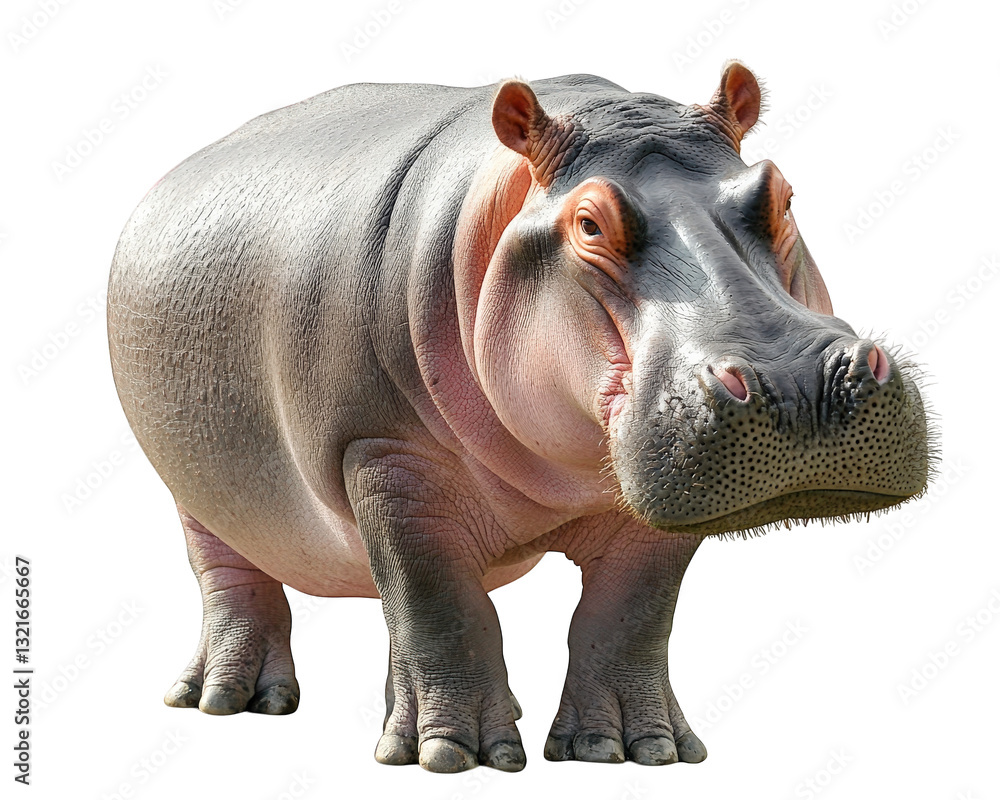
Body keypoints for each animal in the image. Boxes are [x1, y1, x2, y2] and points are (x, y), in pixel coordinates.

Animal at [107, 61, 930, 773]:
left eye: (781, 194)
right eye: (589, 223)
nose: (797, 383)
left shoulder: (657, 505)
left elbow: (629, 616)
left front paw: (633, 750)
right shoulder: (385, 457)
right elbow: (441, 605)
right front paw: (455, 756)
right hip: (198, 491)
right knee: (233, 578)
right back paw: (233, 700)